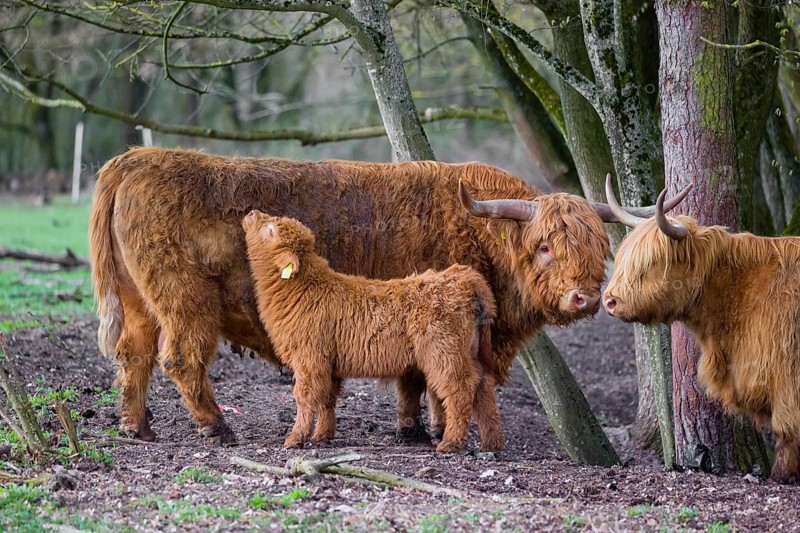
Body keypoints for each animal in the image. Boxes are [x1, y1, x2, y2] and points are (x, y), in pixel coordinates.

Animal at [242, 211, 504, 452]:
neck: (303, 288)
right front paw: (323, 435)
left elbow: (304, 397)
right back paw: (492, 443)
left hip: (445, 353)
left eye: (271, 230)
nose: (252, 212)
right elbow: (328, 398)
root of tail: (464, 278)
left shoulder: (310, 359)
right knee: (484, 386)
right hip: (469, 351)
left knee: (461, 389)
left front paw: (295, 438)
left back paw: (451, 443)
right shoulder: (328, 362)